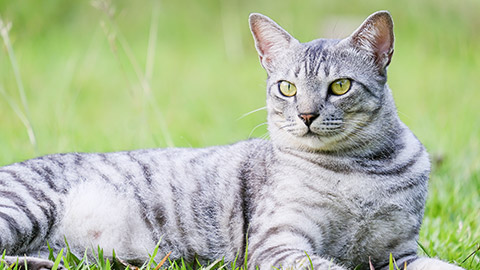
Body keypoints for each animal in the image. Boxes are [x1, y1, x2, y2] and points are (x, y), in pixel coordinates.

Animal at [0, 10, 464, 270]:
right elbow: (329, 267)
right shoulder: (278, 244)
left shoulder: (397, 254)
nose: (306, 115)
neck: (360, 166)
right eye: (287, 88)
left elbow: (443, 267)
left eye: (340, 86)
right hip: (26, 208)